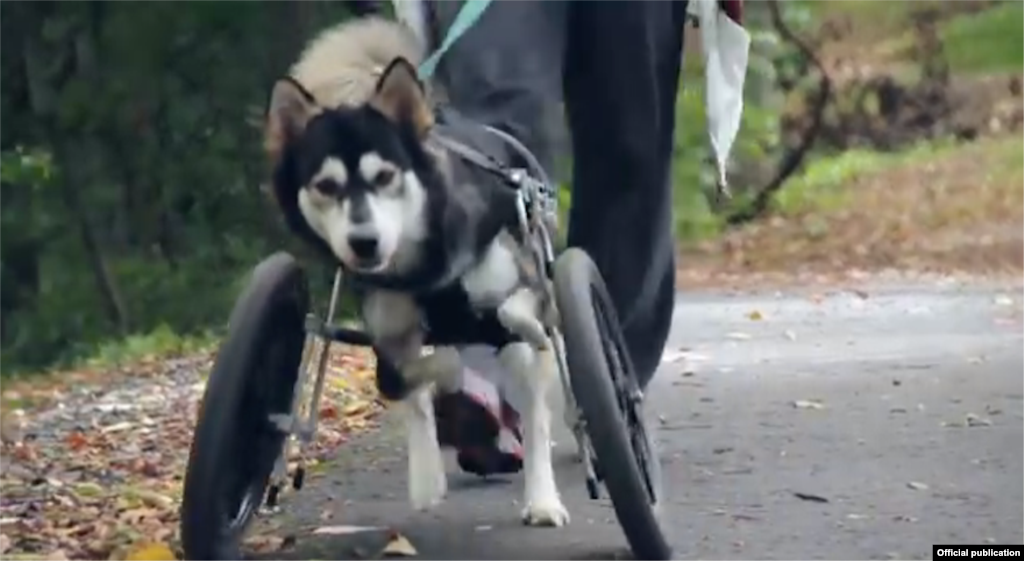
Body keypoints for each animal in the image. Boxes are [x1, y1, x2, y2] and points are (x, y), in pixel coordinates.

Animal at [262, 16, 569, 524]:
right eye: (325, 186)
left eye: (386, 176)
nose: (364, 241)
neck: (424, 268)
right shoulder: (391, 333)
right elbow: (405, 378)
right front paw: (446, 389)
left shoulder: (524, 287)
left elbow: (516, 318)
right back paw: (430, 472)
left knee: (536, 399)